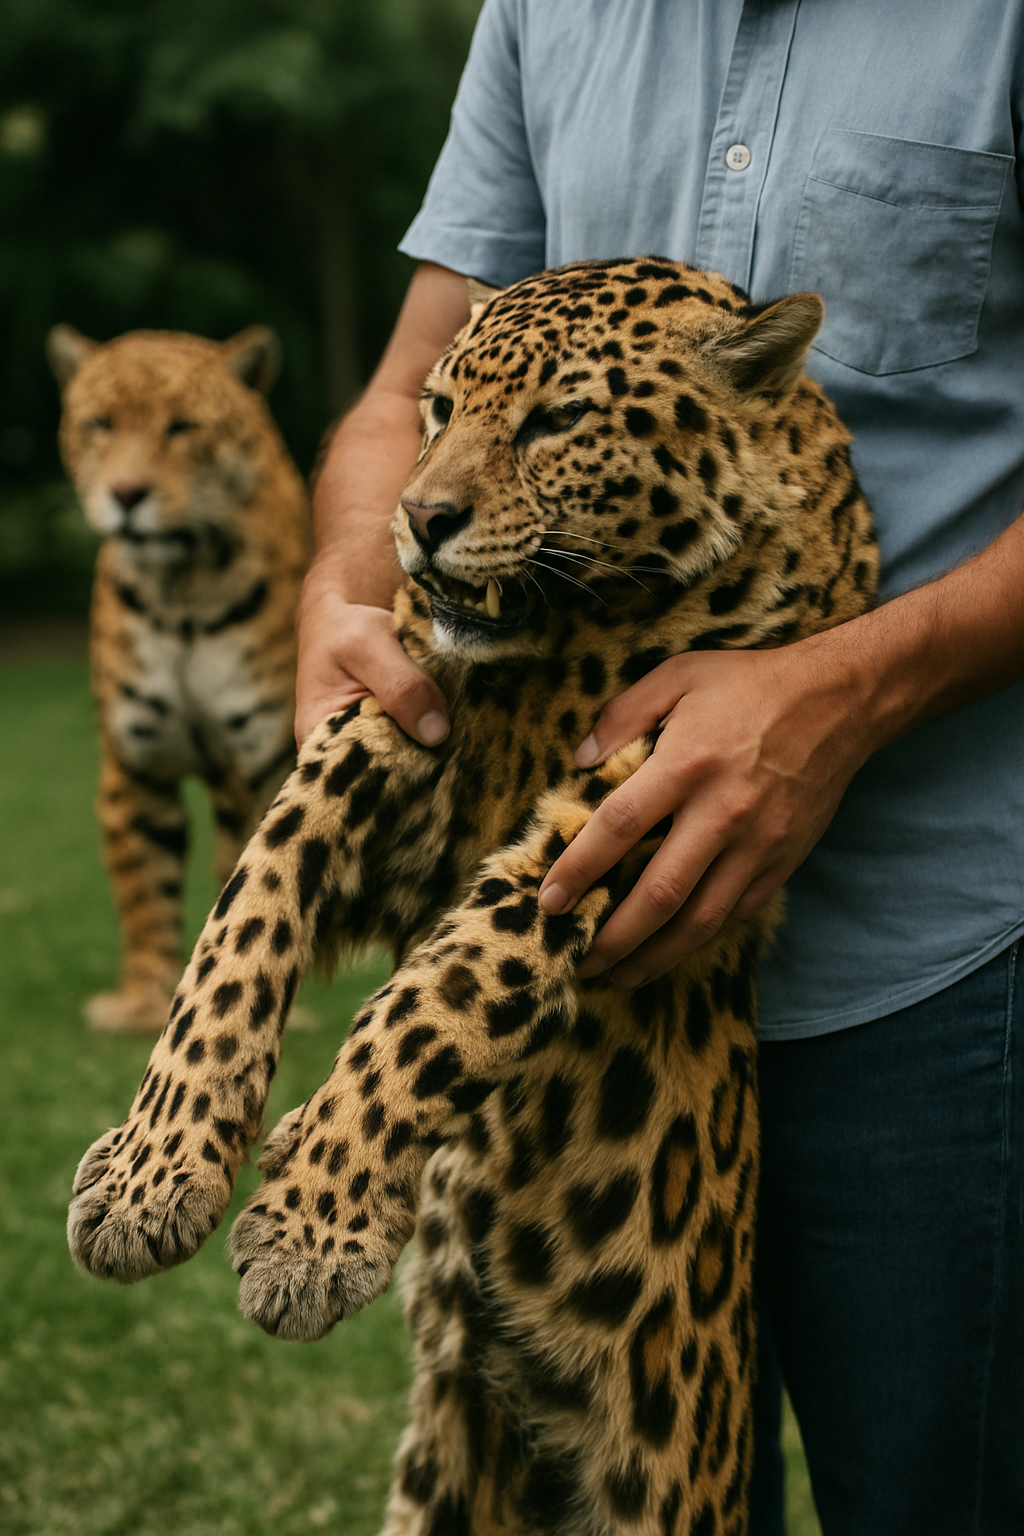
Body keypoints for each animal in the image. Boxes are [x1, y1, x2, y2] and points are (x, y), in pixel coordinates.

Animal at [48, 324, 311, 1033]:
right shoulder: (135, 767)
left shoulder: (257, 763)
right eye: (100, 425)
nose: (126, 495)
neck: (182, 595)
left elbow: (252, 887)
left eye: (182, 428)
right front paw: (141, 999)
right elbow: (145, 889)